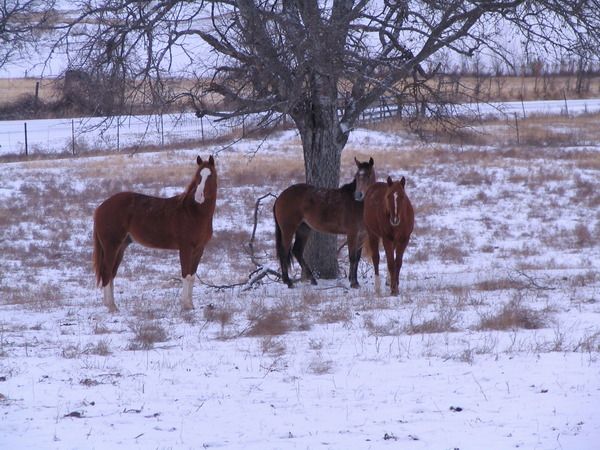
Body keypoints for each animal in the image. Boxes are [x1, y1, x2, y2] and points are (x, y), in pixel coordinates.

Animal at [92, 155, 217, 312]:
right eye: (198, 176)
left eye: (210, 176)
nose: (199, 196)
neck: (193, 212)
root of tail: (100, 207)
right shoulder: (185, 248)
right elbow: (185, 274)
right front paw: (185, 305)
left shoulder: (199, 249)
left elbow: (191, 276)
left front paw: (191, 304)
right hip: (111, 245)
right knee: (107, 271)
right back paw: (111, 307)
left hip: (121, 247)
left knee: (111, 273)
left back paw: (111, 304)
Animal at [273, 157, 376, 288]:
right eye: (357, 176)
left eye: (368, 175)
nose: (358, 195)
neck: (358, 204)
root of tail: (280, 197)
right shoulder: (352, 233)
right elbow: (352, 257)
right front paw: (353, 282)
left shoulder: (362, 235)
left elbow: (357, 258)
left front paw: (355, 281)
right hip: (288, 229)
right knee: (284, 251)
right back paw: (288, 281)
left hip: (304, 229)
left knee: (297, 251)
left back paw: (312, 279)